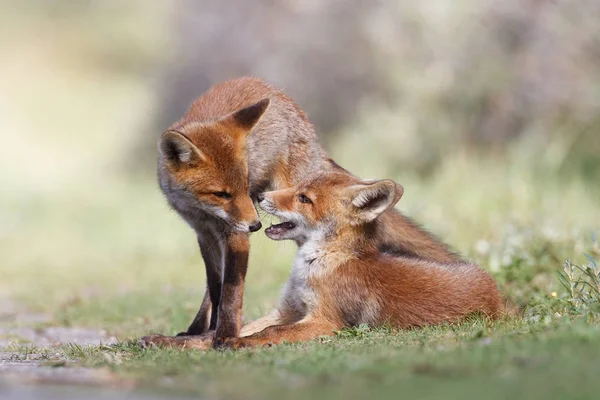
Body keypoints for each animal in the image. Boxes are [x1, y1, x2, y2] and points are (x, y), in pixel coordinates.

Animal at [144, 76, 460, 348]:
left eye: (245, 185)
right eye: (221, 194)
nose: (255, 226)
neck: (204, 212)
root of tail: (292, 107)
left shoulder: (234, 235)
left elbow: (231, 294)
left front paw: (222, 336)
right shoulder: (204, 234)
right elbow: (215, 288)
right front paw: (200, 333)